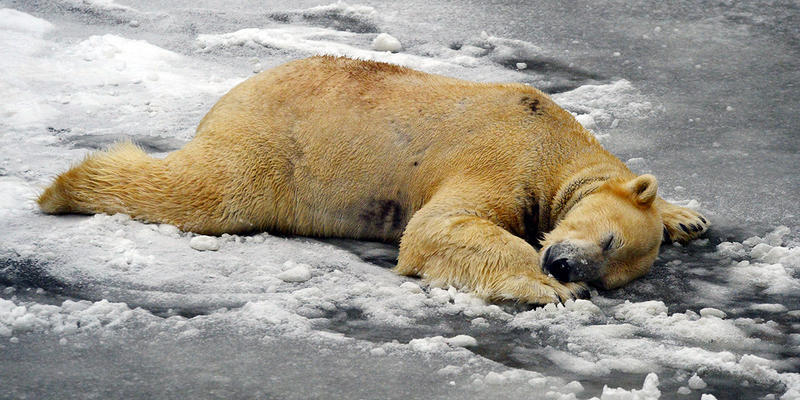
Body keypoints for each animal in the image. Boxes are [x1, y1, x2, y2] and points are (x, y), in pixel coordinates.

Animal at [38, 55, 709, 304]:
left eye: (611, 268)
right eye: (607, 241)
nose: (567, 268)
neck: (554, 140)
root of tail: (236, 91)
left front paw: (688, 217)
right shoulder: (504, 150)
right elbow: (439, 227)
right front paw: (541, 287)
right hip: (275, 146)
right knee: (208, 190)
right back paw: (64, 187)